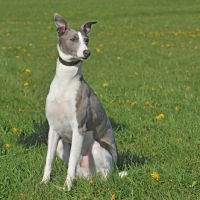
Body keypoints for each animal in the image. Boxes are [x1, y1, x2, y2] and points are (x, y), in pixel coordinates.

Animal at [41, 13, 117, 191]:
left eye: (87, 40)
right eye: (73, 39)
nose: (87, 52)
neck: (65, 82)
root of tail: (89, 176)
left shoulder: (79, 129)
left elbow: (70, 166)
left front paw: (67, 188)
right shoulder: (53, 129)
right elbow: (48, 161)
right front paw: (44, 182)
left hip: (98, 148)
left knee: (104, 176)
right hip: (62, 145)